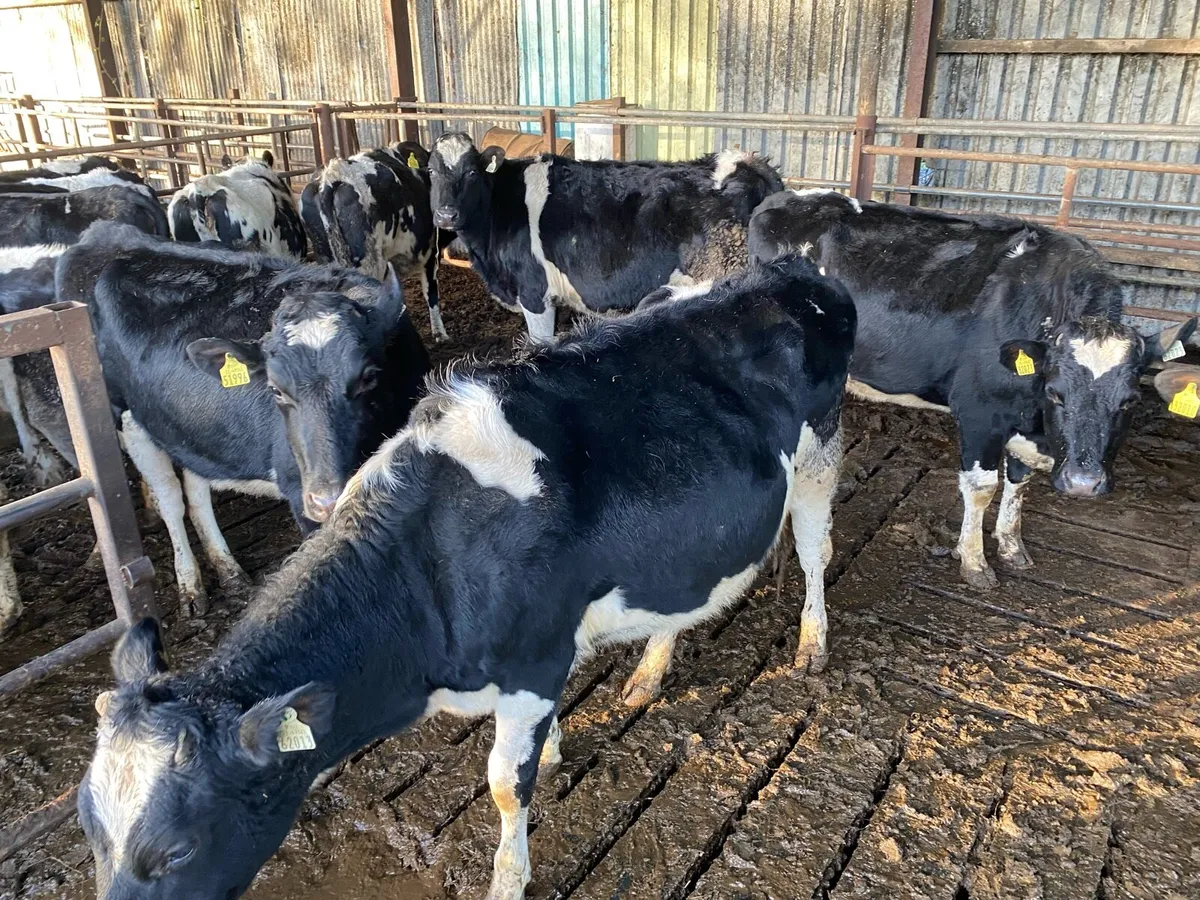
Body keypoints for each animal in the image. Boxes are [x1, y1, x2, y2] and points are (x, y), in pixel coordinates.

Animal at [33, 223, 430, 614]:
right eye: (275, 390)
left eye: (368, 377)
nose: (327, 499)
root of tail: (103, 234)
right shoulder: (300, 493)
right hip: (128, 420)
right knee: (169, 498)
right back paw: (190, 585)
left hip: (189, 427)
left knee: (196, 491)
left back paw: (228, 571)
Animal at [78, 255, 854, 900]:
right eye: (87, 824)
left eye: (177, 851)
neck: (428, 563)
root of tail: (788, 270)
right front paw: (557, 749)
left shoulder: (533, 660)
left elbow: (506, 788)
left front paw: (508, 878)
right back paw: (650, 671)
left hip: (821, 453)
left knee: (815, 550)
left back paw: (812, 645)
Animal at [749, 189, 1196, 590]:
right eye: (1056, 392)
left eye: (1130, 401)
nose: (1083, 483)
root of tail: (782, 200)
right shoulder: (980, 410)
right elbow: (982, 487)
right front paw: (975, 562)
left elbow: (1019, 482)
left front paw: (1012, 548)